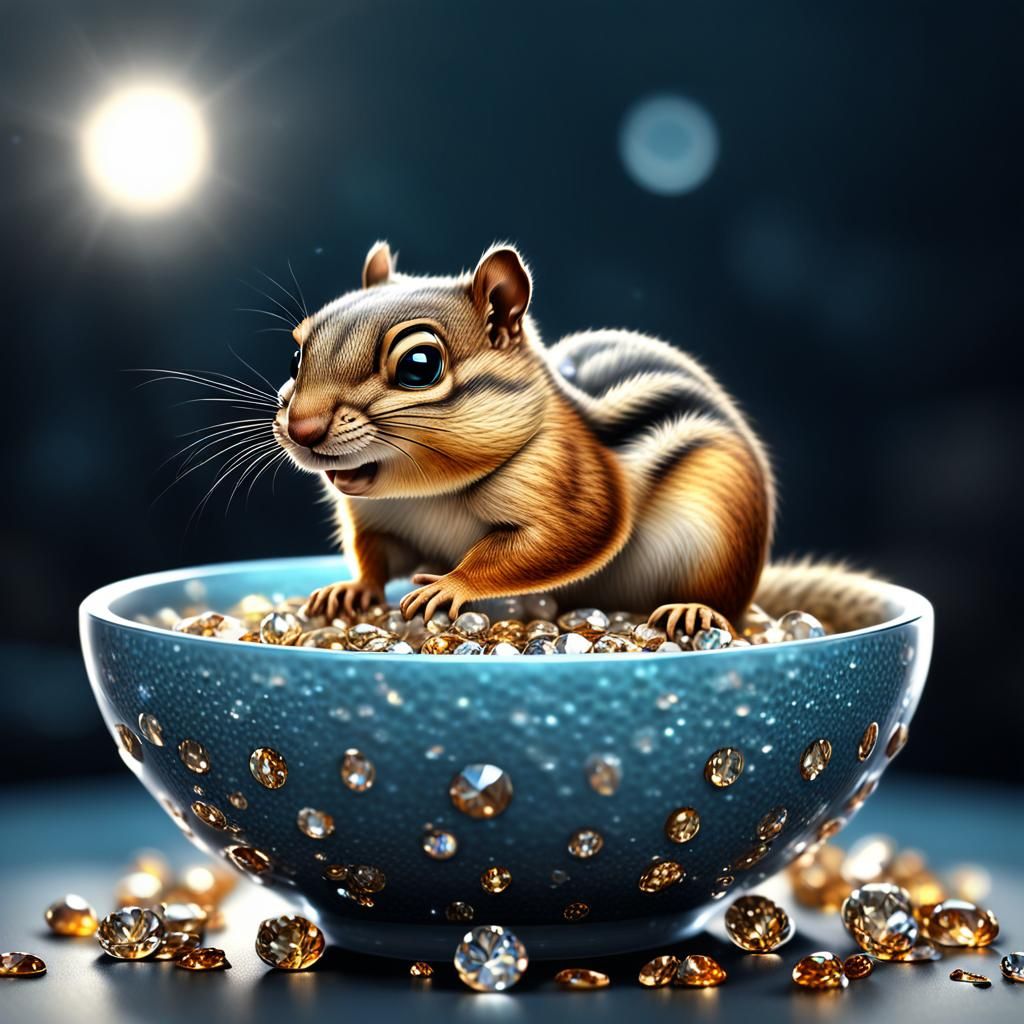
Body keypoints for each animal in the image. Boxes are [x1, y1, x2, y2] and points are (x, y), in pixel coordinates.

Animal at [273, 242, 879, 636]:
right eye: (298, 353)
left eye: (419, 365)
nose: (302, 428)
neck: (425, 496)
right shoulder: (382, 523)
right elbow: (375, 558)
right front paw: (350, 590)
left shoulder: (570, 481)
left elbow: (561, 539)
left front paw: (450, 585)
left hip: (722, 533)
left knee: (726, 601)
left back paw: (695, 611)